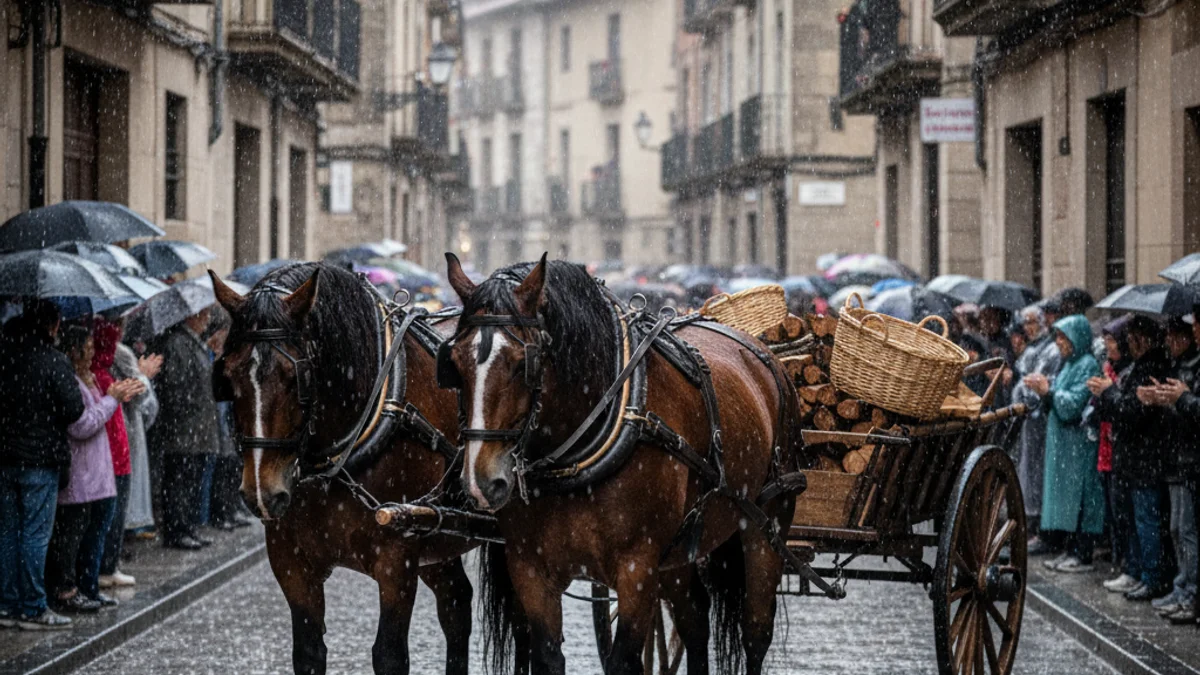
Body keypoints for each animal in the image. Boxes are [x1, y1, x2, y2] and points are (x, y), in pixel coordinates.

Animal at [209, 263, 481, 675]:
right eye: (228, 376)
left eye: (296, 377)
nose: (261, 490)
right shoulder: (290, 561)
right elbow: (309, 652)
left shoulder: (397, 558)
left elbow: (389, 655)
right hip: (438, 537)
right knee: (456, 604)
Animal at [440, 254, 799, 675]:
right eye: (454, 364)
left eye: (519, 364)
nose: (481, 481)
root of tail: (766, 355)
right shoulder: (530, 569)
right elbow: (547, 655)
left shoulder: (637, 570)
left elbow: (623, 659)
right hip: (680, 551)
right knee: (695, 620)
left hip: (766, 524)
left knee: (755, 631)